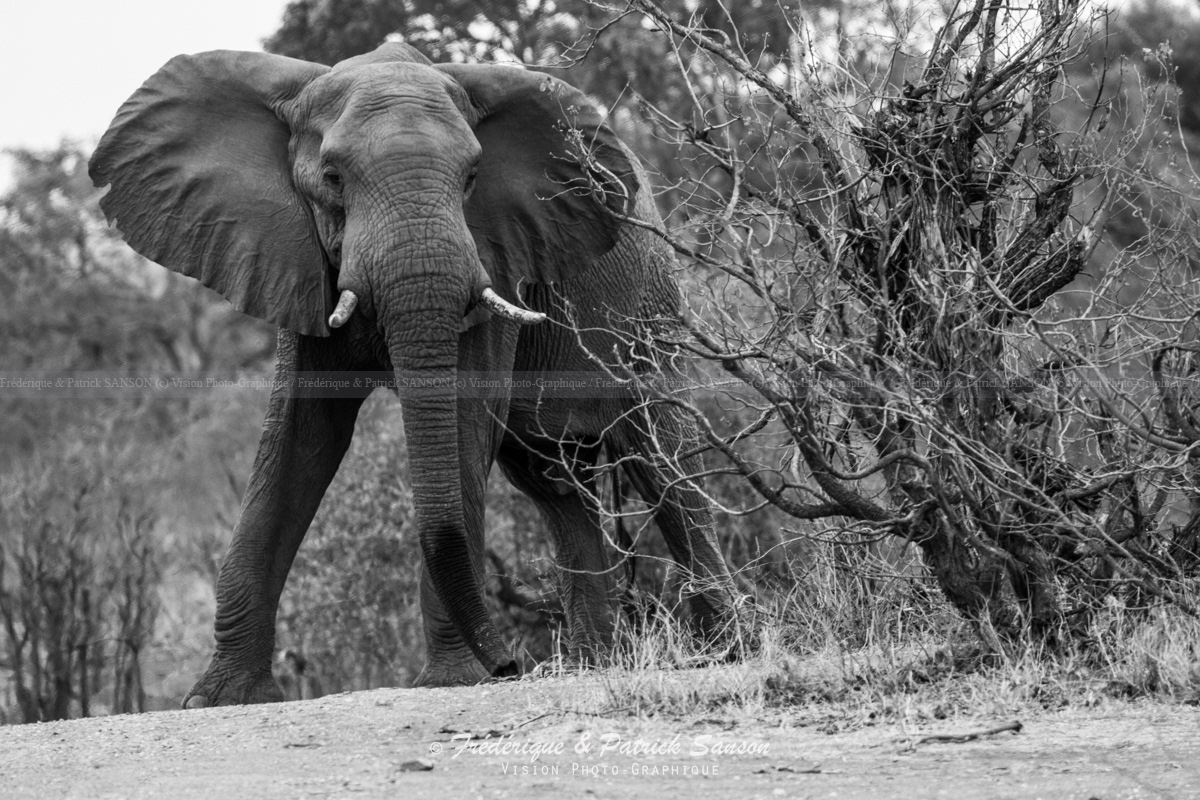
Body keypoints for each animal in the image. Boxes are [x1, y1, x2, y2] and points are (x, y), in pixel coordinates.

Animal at [90, 41, 738, 706]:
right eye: (332, 178)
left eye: (473, 177)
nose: (511, 665)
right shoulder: (295, 257)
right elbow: (301, 438)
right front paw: (220, 698)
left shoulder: (498, 254)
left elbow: (462, 422)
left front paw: (452, 681)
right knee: (555, 481)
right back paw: (592, 665)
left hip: (646, 311)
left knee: (661, 456)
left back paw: (721, 651)